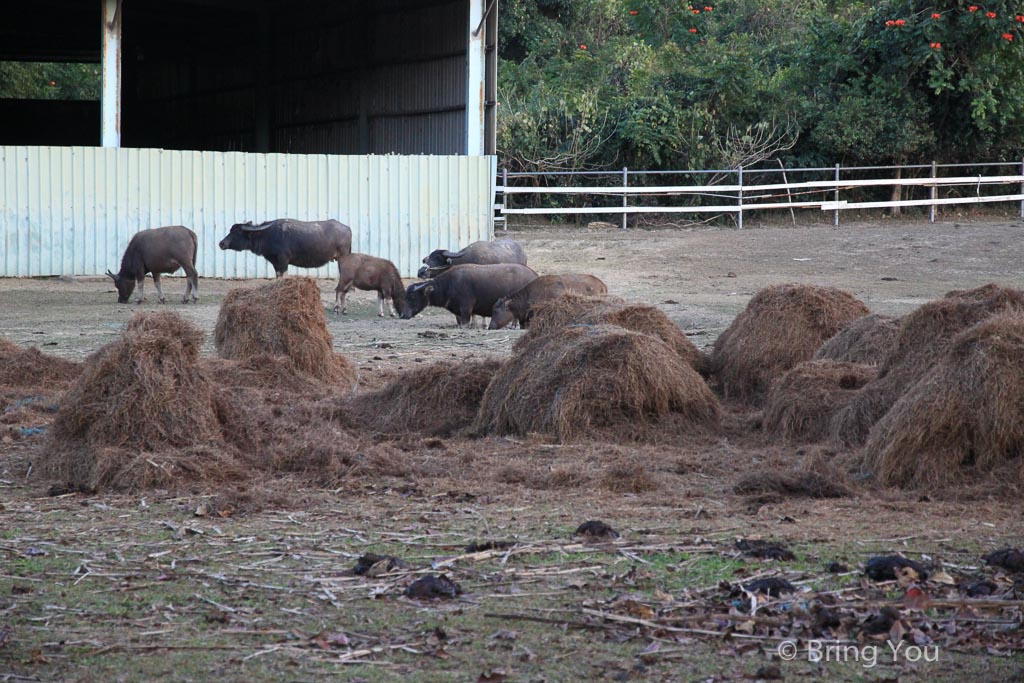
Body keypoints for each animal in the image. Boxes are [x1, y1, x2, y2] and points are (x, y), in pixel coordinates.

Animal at [218, 219, 354, 313]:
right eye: (230, 230)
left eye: (237, 231)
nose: (221, 243)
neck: (269, 235)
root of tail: (348, 228)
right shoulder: (276, 263)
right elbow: (278, 279)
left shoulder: (283, 261)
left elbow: (283, 279)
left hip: (343, 260)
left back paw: (339, 307)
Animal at [403, 264, 540, 327]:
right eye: (406, 296)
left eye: (413, 297)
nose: (403, 315)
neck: (449, 285)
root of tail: (533, 274)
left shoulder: (466, 308)